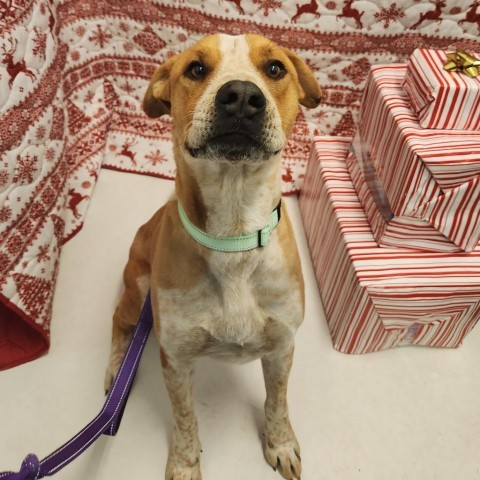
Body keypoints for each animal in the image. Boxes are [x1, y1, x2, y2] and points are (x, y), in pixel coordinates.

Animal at [106, 34, 322, 480]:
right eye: (196, 68)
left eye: (275, 68)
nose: (240, 96)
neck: (233, 238)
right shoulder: (175, 359)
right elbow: (185, 417)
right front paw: (185, 463)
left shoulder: (282, 347)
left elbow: (277, 401)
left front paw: (280, 444)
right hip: (136, 292)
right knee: (118, 321)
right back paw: (117, 370)